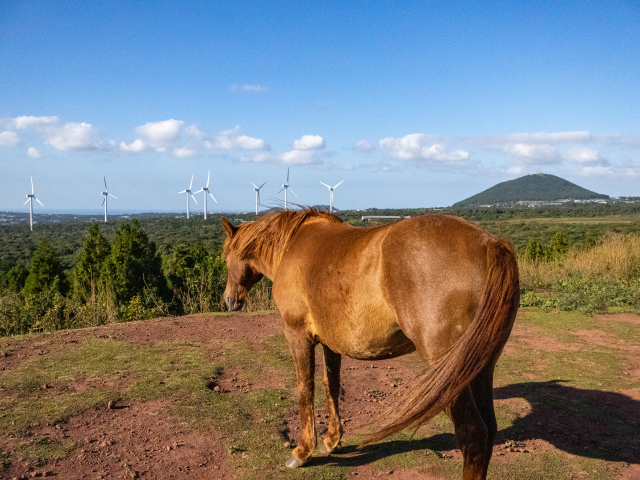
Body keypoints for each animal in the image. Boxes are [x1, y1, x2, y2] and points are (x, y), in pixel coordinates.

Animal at [222, 210, 516, 480]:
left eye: (225, 257)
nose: (228, 300)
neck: (293, 246)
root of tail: (488, 243)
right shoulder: (331, 344)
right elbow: (331, 385)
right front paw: (332, 441)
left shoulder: (297, 335)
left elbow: (305, 388)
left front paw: (303, 451)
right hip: (479, 367)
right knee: (489, 430)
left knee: (473, 434)